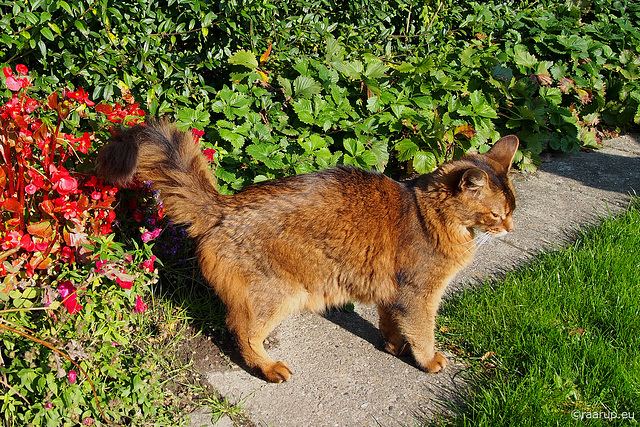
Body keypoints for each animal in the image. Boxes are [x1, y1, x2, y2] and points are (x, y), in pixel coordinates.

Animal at [96, 119, 520, 384]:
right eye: (496, 214)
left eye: (512, 210)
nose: (511, 228)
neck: (430, 214)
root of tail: (225, 205)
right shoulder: (420, 295)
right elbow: (423, 333)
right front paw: (428, 360)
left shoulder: (392, 292)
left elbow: (390, 323)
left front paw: (392, 346)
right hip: (279, 294)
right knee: (242, 331)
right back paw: (268, 368)